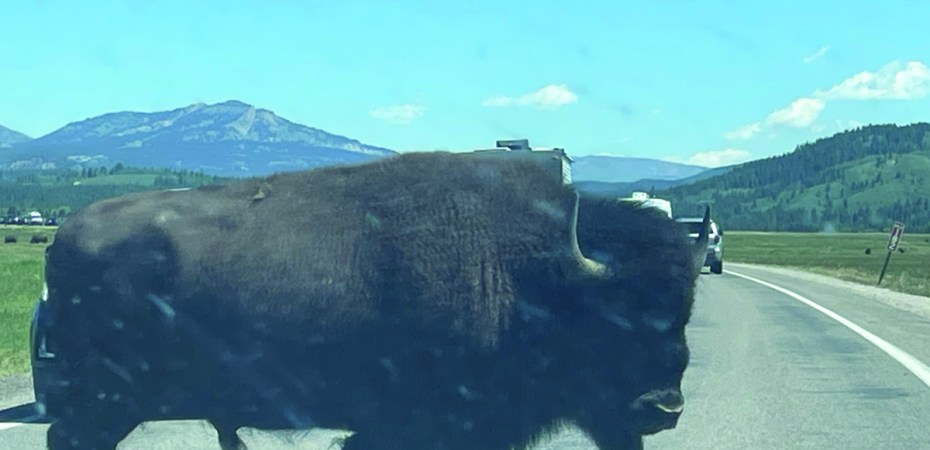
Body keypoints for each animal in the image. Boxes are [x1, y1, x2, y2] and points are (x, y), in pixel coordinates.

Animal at [38, 151, 708, 450]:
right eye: (612, 318)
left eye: (684, 313)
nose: (663, 406)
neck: (532, 276)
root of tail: (63, 235)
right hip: (102, 403)